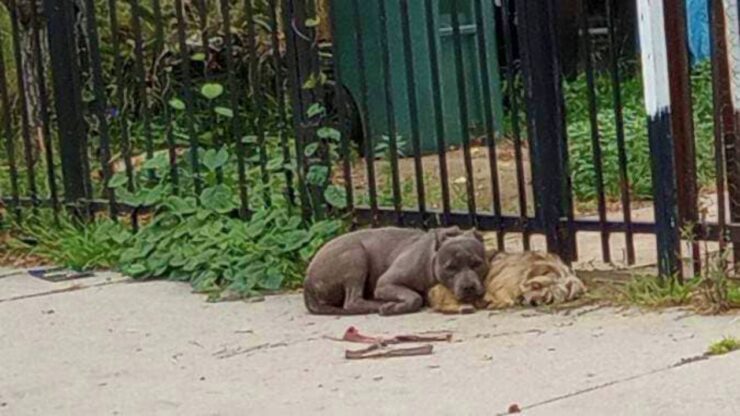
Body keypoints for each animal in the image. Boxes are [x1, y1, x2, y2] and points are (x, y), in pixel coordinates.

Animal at [304, 228, 488, 316]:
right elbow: (415, 297)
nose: (468, 287)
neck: (431, 258)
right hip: (355, 256)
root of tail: (307, 279)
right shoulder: (385, 283)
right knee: (352, 301)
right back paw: (381, 304)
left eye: (477, 263)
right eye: (450, 268)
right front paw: (395, 307)